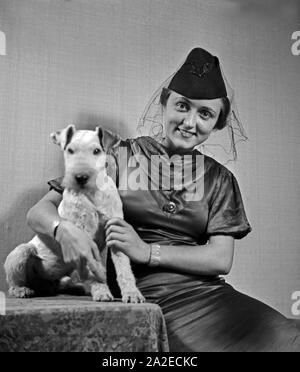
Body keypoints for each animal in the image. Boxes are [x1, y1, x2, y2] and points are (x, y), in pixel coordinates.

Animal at [4, 125, 145, 302]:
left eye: (96, 150)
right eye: (70, 150)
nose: (81, 177)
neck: (93, 193)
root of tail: (42, 285)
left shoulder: (116, 230)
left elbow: (123, 267)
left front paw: (132, 294)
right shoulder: (82, 237)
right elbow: (93, 268)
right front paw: (101, 291)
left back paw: (75, 287)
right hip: (22, 252)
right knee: (13, 281)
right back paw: (22, 290)